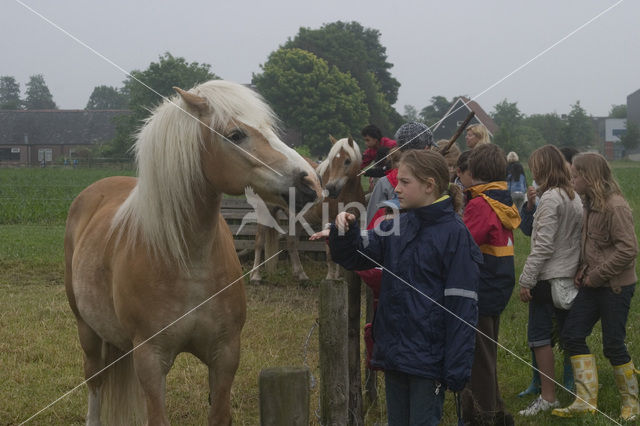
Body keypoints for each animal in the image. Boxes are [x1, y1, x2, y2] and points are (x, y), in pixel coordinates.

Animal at [65, 78, 320, 424]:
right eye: (236, 135)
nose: (311, 182)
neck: (188, 262)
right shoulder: (150, 360)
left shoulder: (225, 355)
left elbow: (219, 414)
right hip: (87, 330)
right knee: (95, 380)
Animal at [249, 136, 362, 282]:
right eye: (331, 161)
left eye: (347, 160)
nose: (331, 188)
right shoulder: (327, 220)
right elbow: (329, 252)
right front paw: (330, 278)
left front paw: (338, 277)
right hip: (265, 212)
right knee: (259, 242)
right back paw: (255, 276)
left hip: (296, 219)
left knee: (291, 242)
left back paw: (301, 275)